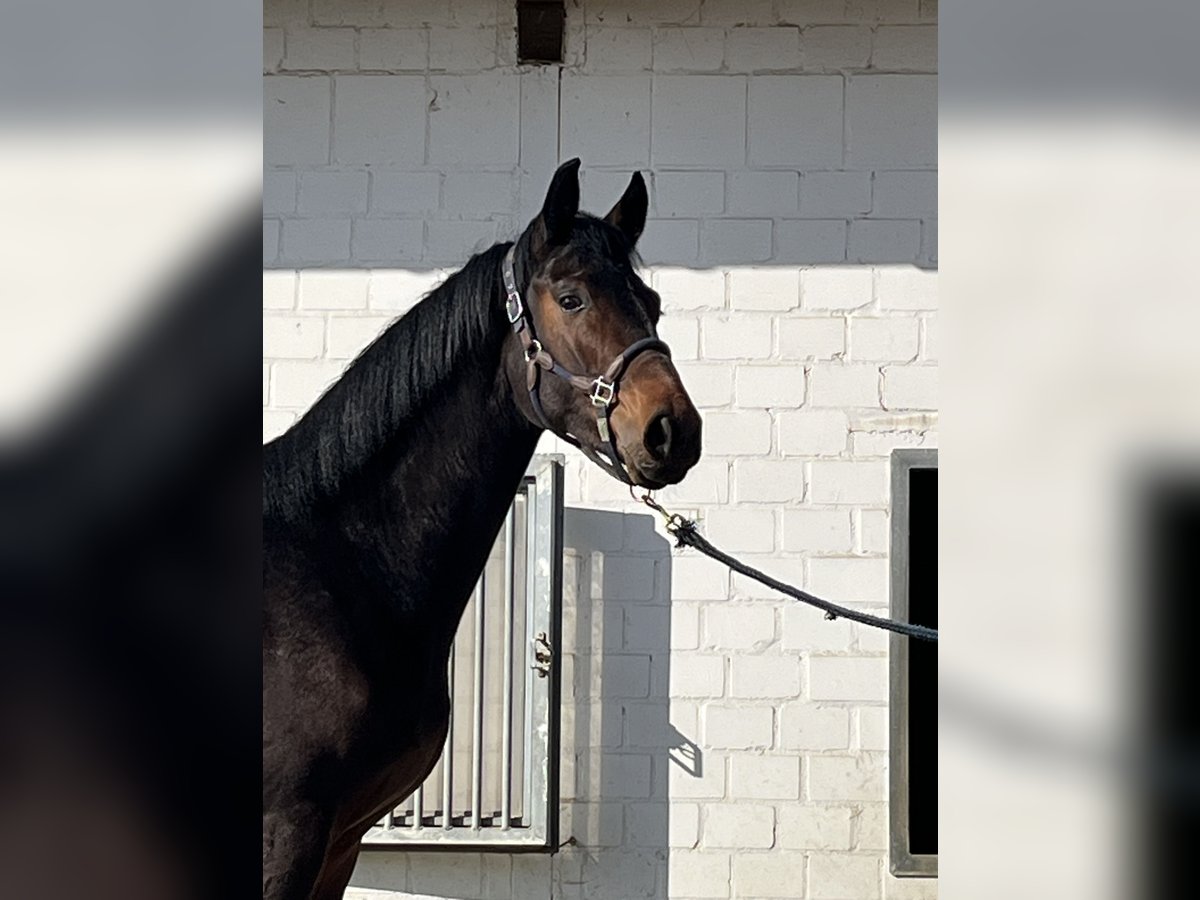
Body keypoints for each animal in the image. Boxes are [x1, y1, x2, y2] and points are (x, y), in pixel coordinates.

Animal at [262, 158, 700, 897]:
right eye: (572, 298)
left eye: (654, 302)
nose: (674, 431)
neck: (335, 572)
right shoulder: (284, 832)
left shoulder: (339, 841)